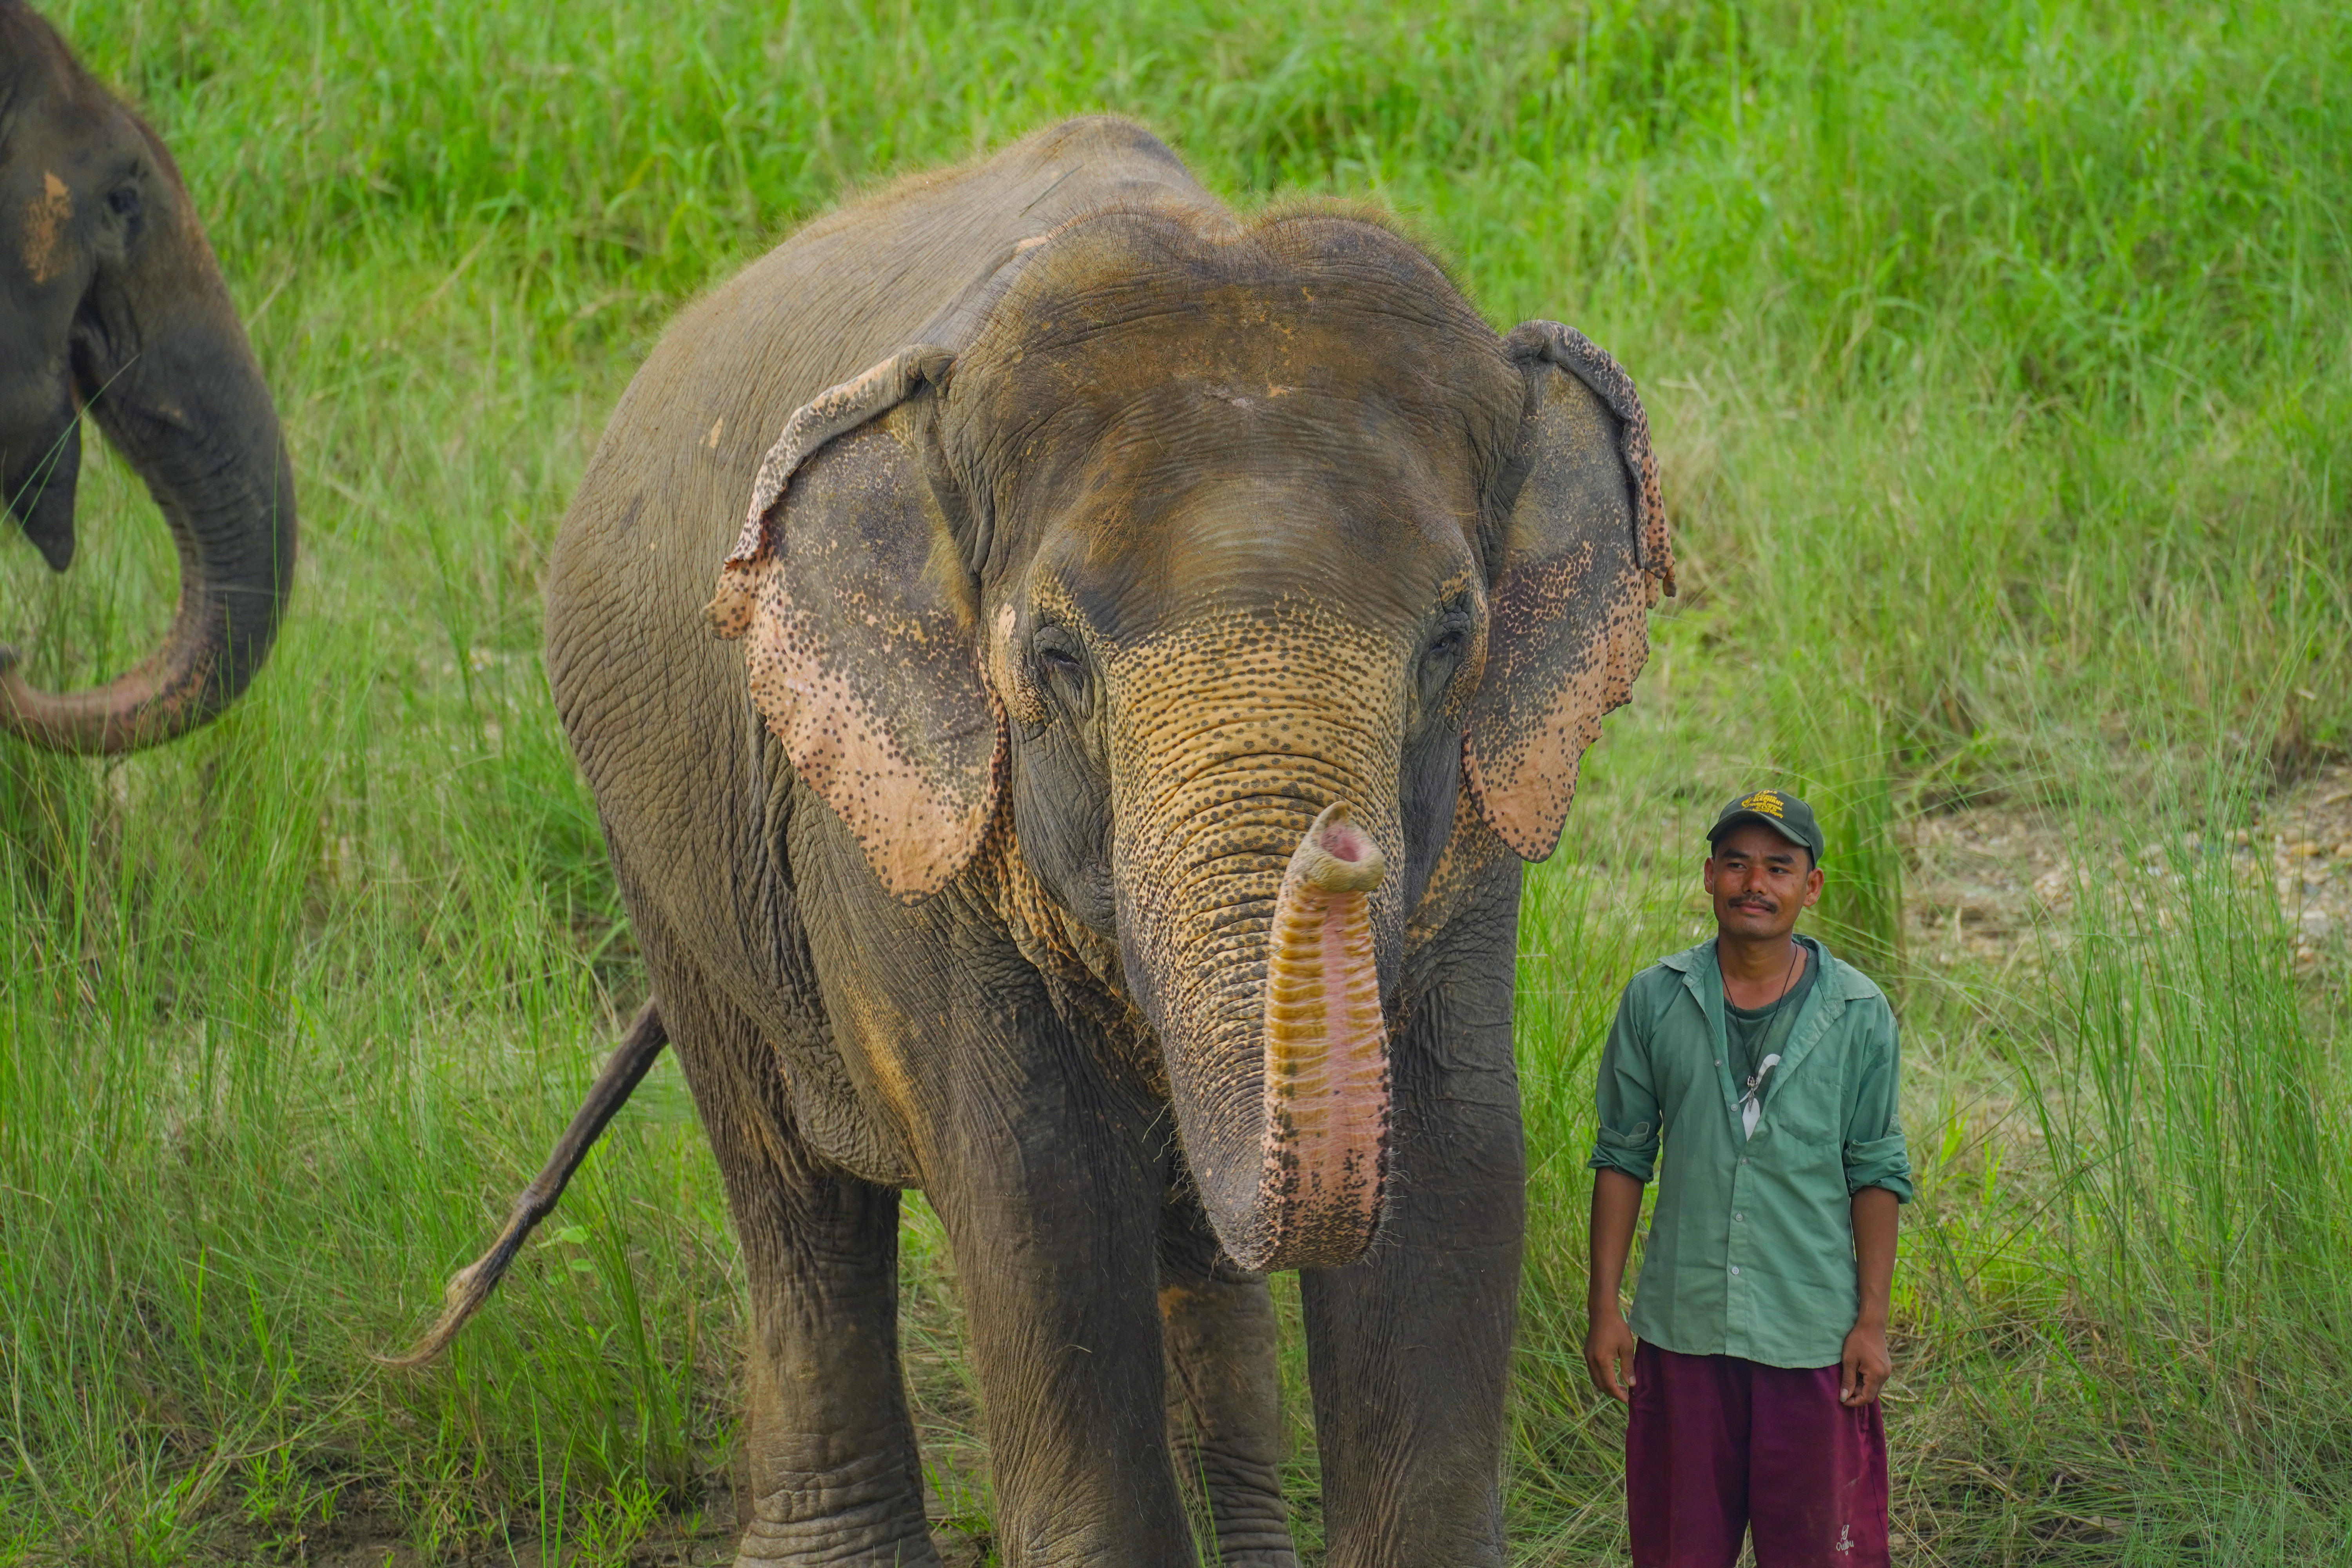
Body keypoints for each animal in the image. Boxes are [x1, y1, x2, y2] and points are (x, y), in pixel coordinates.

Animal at [401, 116, 1670, 1566]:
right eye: (1057, 660)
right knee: (791, 1193)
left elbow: (1456, 1167)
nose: (1339, 852)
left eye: (1452, 642)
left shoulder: (1476, 814)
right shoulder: (915, 825)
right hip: (662, 840)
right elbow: (1035, 1197)